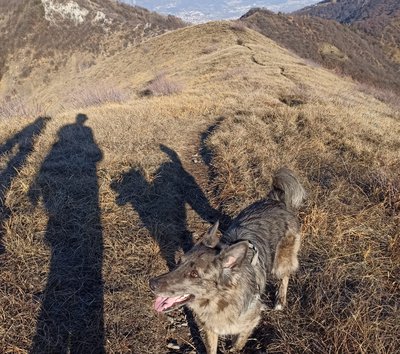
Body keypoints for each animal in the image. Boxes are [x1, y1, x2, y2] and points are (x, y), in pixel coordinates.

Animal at [148, 167, 304, 352]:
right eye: (179, 262)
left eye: (194, 274)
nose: (151, 283)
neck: (219, 299)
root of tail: (275, 200)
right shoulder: (210, 329)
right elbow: (211, 348)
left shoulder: (250, 322)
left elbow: (237, 345)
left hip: (281, 261)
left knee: (285, 276)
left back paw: (280, 301)